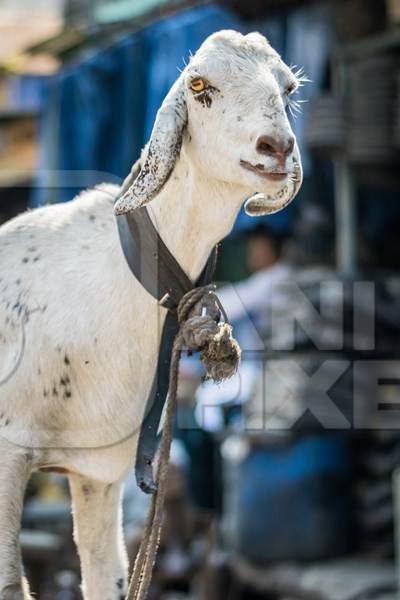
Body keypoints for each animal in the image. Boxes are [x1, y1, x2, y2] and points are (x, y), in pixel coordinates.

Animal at [0, 31, 302, 600]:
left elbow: (107, 575)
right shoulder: (8, 456)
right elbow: (12, 583)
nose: (276, 147)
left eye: (288, 88)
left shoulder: (100, 472)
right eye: (199, 85)